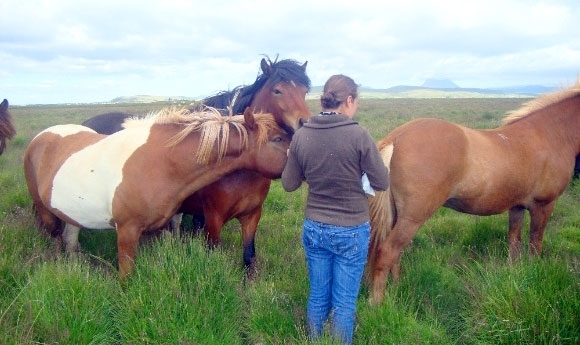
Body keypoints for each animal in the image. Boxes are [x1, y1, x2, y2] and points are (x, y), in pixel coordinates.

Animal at [24, 106, 292, 278]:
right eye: (278, 139)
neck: (160, 162)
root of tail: (41, 136)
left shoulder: (164, 225)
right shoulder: (128, 231)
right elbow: (127, 277)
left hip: (73, 215)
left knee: (70, 239)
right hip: (47, 215)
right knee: (57, 239)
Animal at [80, 55, 312, 274]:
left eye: (305, 91)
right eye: (277, 90)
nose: (304, 123)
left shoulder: (252, 215)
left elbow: (248, 256)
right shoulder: (213, 218)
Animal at [370, 80, 580, 304]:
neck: (548, 133)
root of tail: (396, 137)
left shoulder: (517, 207)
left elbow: (514, 243)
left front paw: (515, 275)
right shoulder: (543, 205)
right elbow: (535, 244)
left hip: (397, 215)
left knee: (395, 254)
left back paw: (397, 289)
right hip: (413, 217)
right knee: (388, 251)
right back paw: (377, 303)